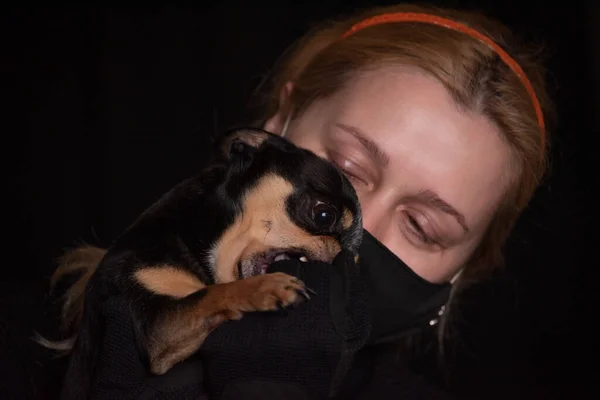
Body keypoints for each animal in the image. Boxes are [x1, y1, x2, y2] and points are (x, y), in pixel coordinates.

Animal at [44, 128, 364, 400]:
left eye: (355, 256)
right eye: (324, 215)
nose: (343, 257)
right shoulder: (155, 324)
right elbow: (213, 294)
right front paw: (264, 287)